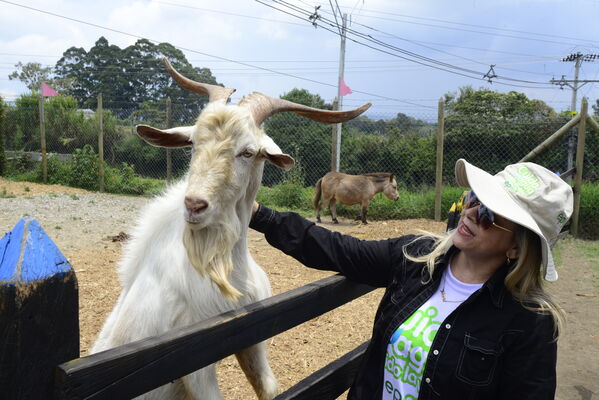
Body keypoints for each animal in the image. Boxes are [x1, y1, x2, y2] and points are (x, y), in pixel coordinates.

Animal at [92, 57, 370, 398]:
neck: (228, 269)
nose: (194, 205)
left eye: (247, 152)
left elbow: (268, 387)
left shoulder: (252, 335)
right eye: (193, 143)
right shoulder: (192, 361)